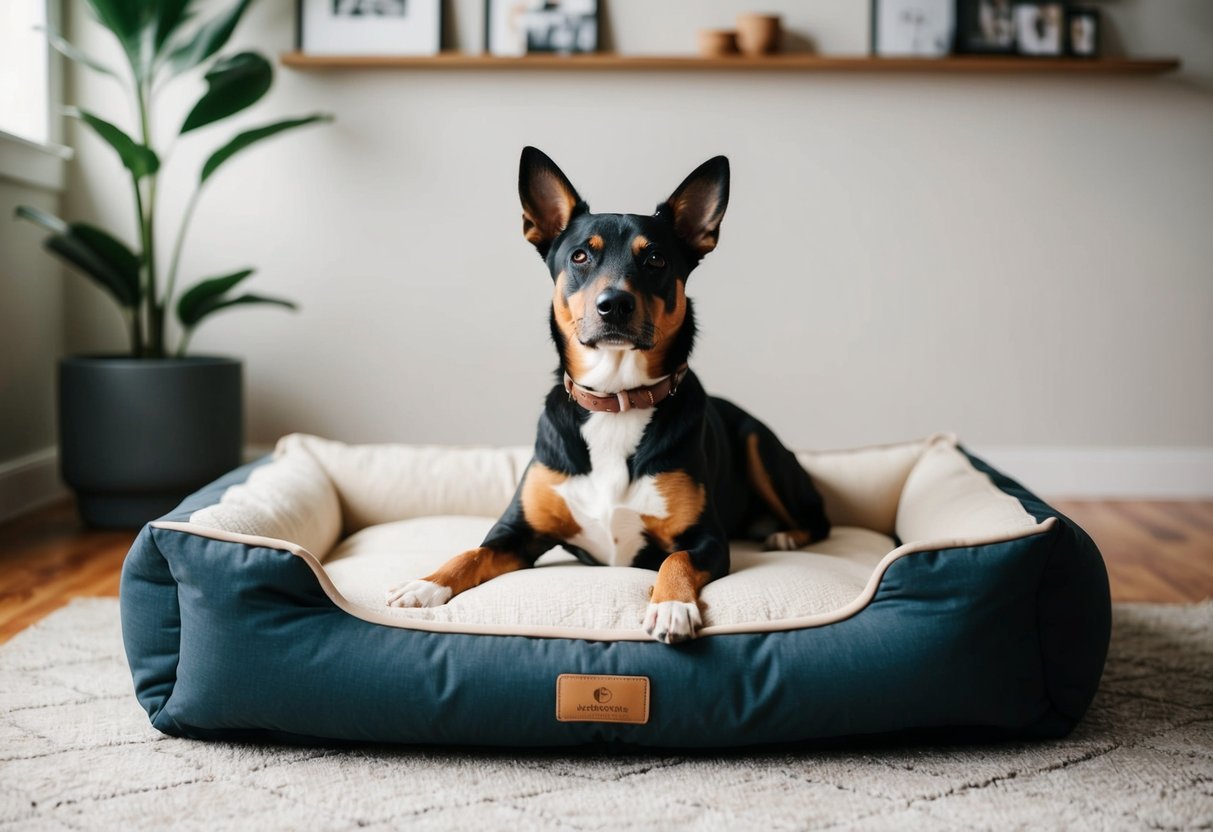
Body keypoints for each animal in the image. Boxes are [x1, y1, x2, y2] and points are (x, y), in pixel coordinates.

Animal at [383, 148, 829, 645]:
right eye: (580, 256)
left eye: (655, 259)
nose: (614, 304)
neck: (616, 400)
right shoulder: (516, 533)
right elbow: (471, 553)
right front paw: (425, 585)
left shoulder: (708, 539)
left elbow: (676, 559)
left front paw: (671, 605)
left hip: (758, 444)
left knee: (819, 518)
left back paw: (786, 536)